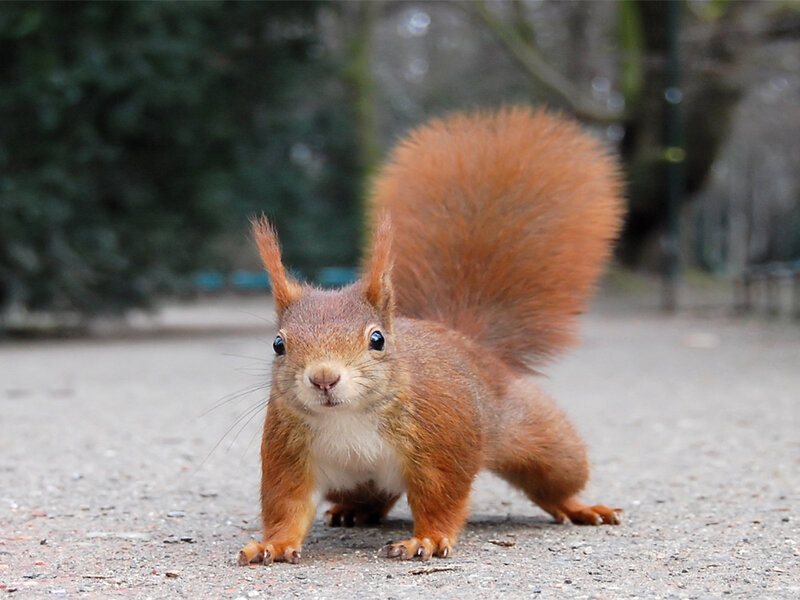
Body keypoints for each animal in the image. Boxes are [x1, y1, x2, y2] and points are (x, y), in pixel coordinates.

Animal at [238, 106, 625, 565]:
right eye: (278, 344)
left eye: (377, 339)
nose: (324, 378)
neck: (347, 417)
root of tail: (467, 342)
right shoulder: (288, 451)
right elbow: (287, 504)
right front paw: (274, 543)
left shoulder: (441, 441)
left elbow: (440, 497)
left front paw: (427, 538)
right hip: (353, 481)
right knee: (373, 495)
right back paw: (354, 511)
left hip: (543, 440)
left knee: (555, 481)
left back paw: (580, 506)